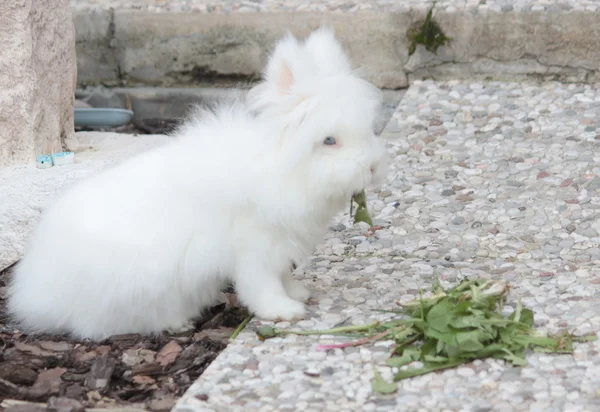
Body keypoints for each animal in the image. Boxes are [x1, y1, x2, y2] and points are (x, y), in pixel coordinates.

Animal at [5, 26, 390, 342]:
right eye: (329, 141)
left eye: (368, 129)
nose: (372, 167)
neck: (279, 167)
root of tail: (33, 293)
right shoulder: (255, 247)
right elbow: (261, 284)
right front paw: (284, 311)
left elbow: (283, 275)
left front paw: (298, 293)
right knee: (101, 326)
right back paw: (177, 323)